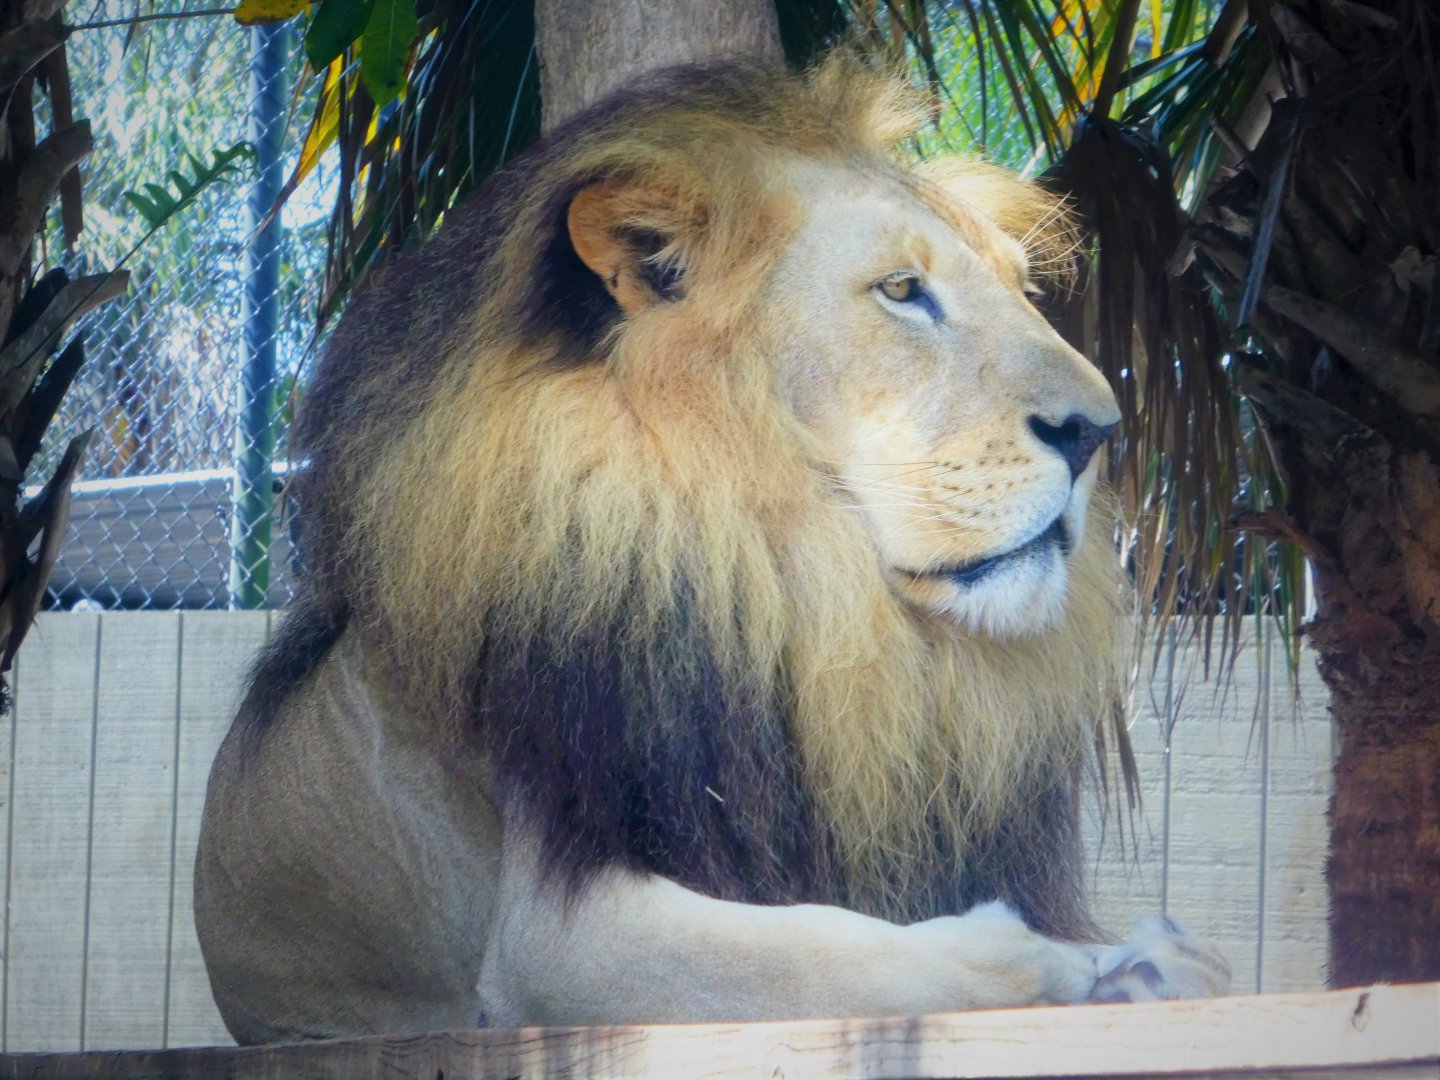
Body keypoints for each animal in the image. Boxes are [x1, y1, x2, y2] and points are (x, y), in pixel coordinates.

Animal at [194, 55, 1229, 1043]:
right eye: (903, 291)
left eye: (1022, 290)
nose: (1099, 432)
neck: (795, 580)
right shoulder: (552, 944)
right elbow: (833, 952)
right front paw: (1065, 960)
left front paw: (1147, 957)